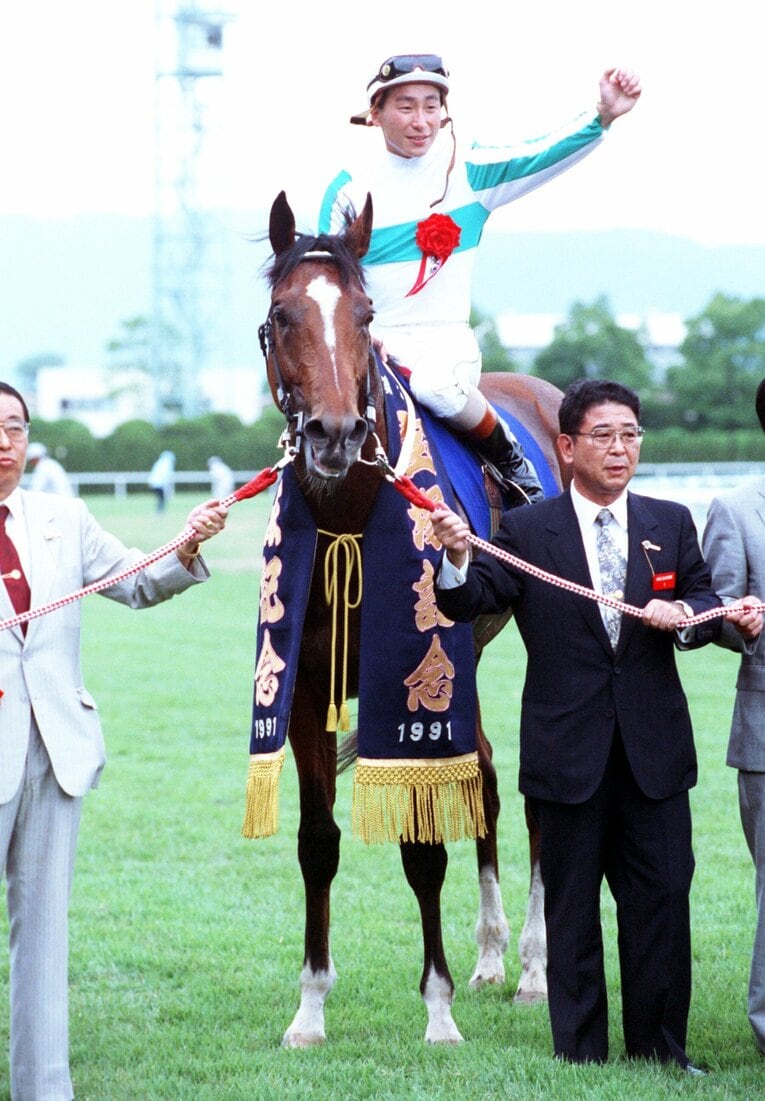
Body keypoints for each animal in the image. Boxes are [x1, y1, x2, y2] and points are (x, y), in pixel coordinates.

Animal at [252, 190, 567, 1048]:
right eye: (283, 315)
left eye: (363, 315)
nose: (333, 433)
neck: (352, 522)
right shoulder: (304, 684)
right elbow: (317, 841)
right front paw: (309, 1006)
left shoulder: (414, 673)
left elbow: (423, 847)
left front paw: (438, 1008)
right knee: (485, 774)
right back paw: (492, 956)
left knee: (536, 789)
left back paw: (533, 968)